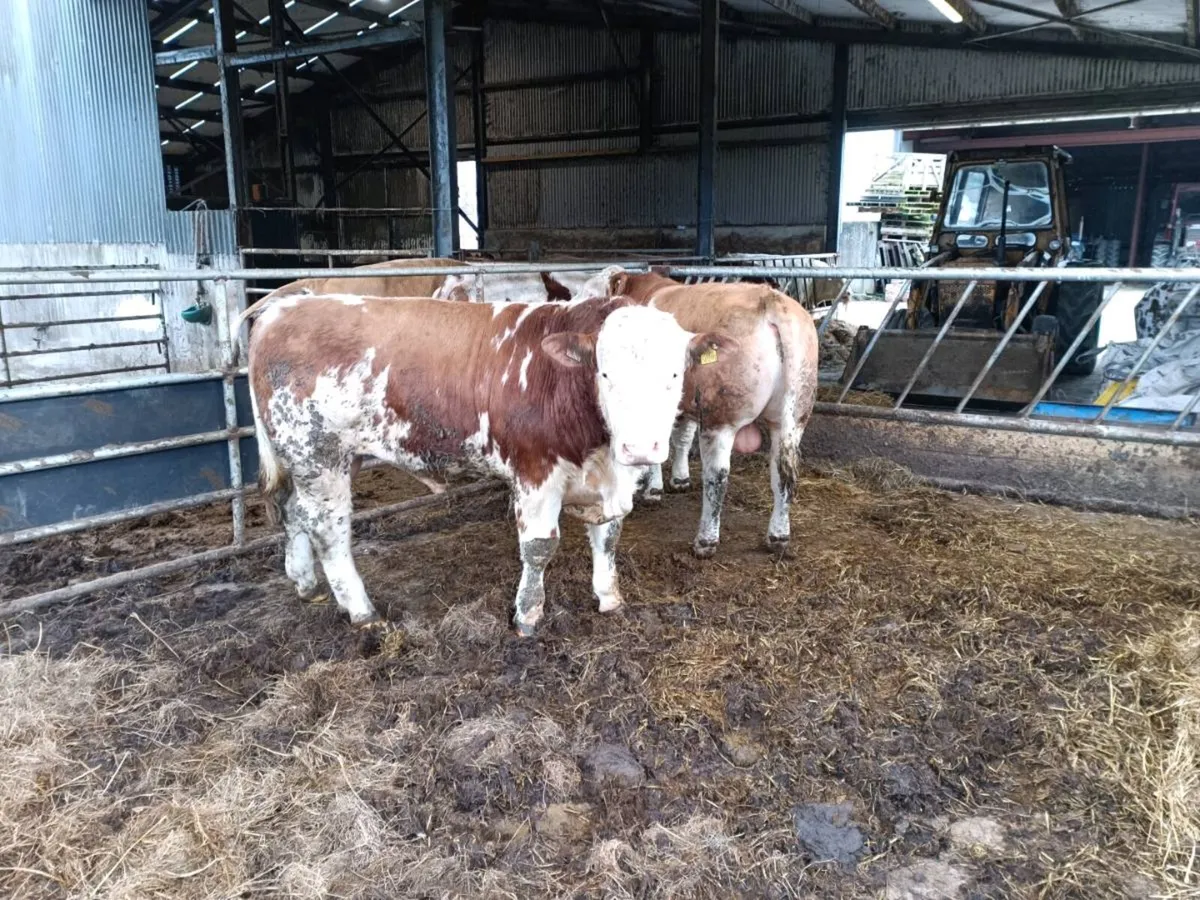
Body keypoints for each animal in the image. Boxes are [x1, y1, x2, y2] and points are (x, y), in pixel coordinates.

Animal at [247, 290, 736, 635]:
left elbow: (608, 537)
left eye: (675, 373)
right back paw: (362, 610)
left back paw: (305, 582)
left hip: (317, 462)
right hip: (318, 457)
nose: (640, 449)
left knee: (293, 511)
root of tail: (284, 306)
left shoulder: (610, 481)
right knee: (329, 530)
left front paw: (608, 597)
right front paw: (527, 617)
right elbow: (539, 548)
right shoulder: (535, 472)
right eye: (604, 373)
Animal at [576, 266, 818, 559]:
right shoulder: (687, 402)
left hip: (720, 419)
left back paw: (705, 541)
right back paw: (778, 537)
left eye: (590, 293)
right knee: (782, 472)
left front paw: (653, 490)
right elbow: (682, 437)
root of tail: (773, 302)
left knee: (717, 476)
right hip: (793, 416)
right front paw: (679, 480)